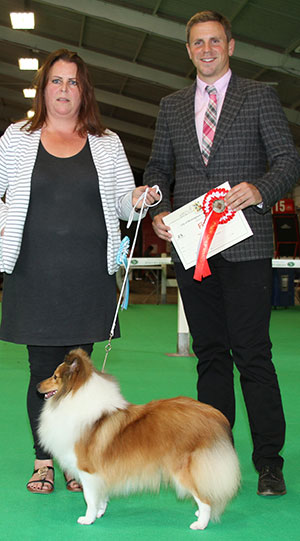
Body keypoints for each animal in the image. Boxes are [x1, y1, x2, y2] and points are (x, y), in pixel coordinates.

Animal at [37, 348, 240, 528]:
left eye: (55, 376)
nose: (37, 386)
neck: (72, 397)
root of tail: (215, 415)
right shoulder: (100, 474)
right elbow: (101, 496)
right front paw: (100, 512)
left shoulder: (88, 470)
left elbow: (89, 498)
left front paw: (88, 518)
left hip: (183, 469)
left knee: (205, 499)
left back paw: (200, 524)